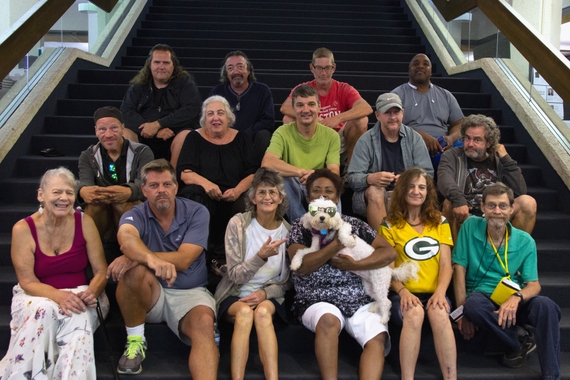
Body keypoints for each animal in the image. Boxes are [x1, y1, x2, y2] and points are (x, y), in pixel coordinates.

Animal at [288, 196, 418, 324]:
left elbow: (342, 232)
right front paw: (295, 263)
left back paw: (384, 318)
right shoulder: (315, 249)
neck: (324, 232)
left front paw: (349, 241)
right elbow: (301, 252)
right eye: (315, 211)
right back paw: (375, 308)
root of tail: (390, 270)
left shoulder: (345, 226)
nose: (322, 217)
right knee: (379, 299)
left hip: (379, 282)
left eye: (328, 211)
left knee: (386, 302)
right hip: (369, 287)